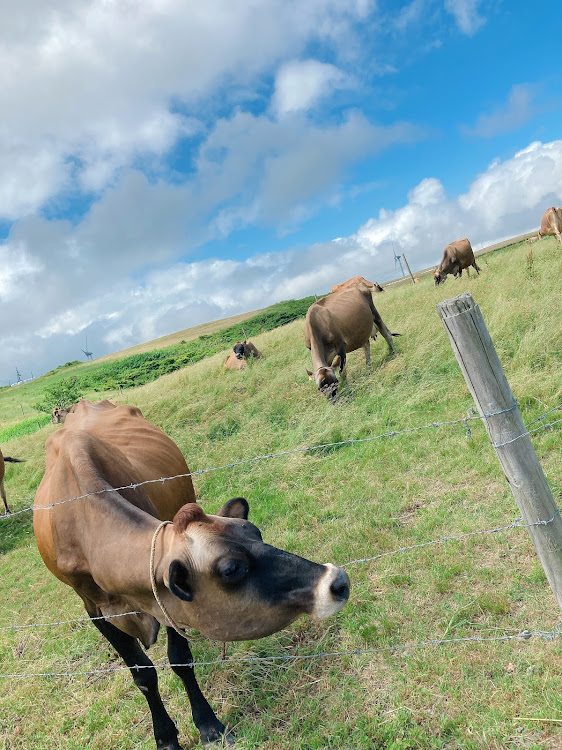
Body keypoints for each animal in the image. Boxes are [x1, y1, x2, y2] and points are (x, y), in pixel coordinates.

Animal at [32, 400, 348, 748]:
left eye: (255, 532)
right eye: (231, 568)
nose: (337, 581)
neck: (87, 527)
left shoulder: (165, 600)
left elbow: (180, 659)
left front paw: (208, 724)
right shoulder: (95, 609)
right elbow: (143, 674)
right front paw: (166, 737)